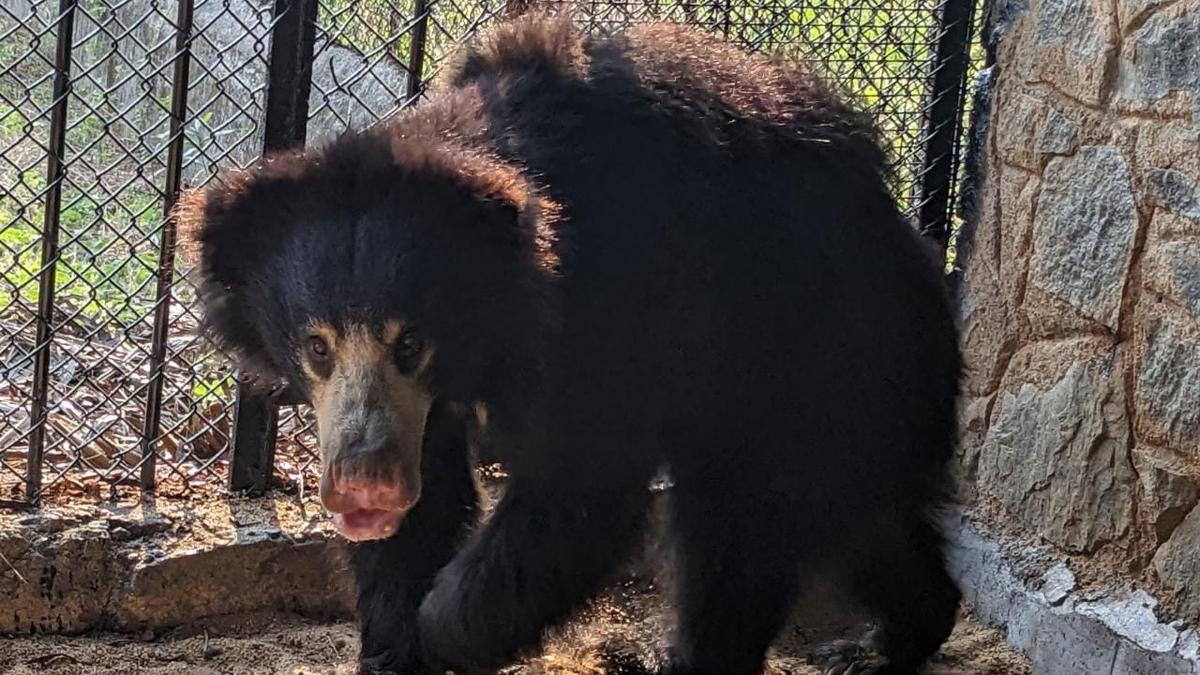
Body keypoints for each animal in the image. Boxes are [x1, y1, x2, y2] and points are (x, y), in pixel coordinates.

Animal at [179, 14, 962, 675]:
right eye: (317, 346)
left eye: (411, 343)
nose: (363, 486)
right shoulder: (418, 408)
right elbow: (427, 498)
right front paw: (394, 643)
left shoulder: (612, 313)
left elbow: (580, 485)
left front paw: (438, 631)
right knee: (858, 516)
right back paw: (890, 639)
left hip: (814, 355)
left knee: (743, 525)